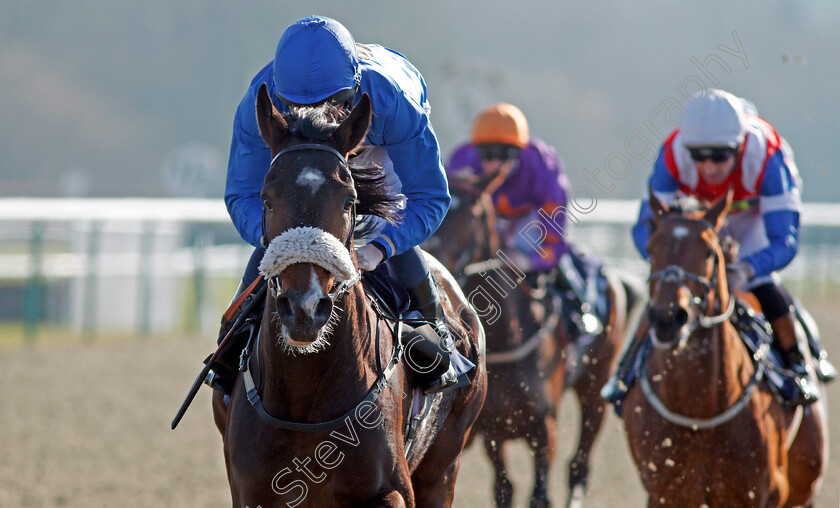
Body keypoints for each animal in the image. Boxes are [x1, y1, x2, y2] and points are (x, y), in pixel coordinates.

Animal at [212, 83, 486, 508]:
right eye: (267, 199)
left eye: (348, 202)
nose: (304, 309)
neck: (304, 398)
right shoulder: (250, 493)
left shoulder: (393, 490)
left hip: (443, 468)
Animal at [426, 176, 644, 508]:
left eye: (475, 213)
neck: (507, 338)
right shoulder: (493, 430)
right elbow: (504, 490)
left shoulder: (544, 428)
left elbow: (540, 495)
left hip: (596, 387)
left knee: (578, 467)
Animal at [624, 191, 828, 508]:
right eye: (651, 248)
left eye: (709, 252)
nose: (668, 318)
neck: (700, 411)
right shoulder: (665, 492)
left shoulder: (762, 492)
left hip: (804, 477)